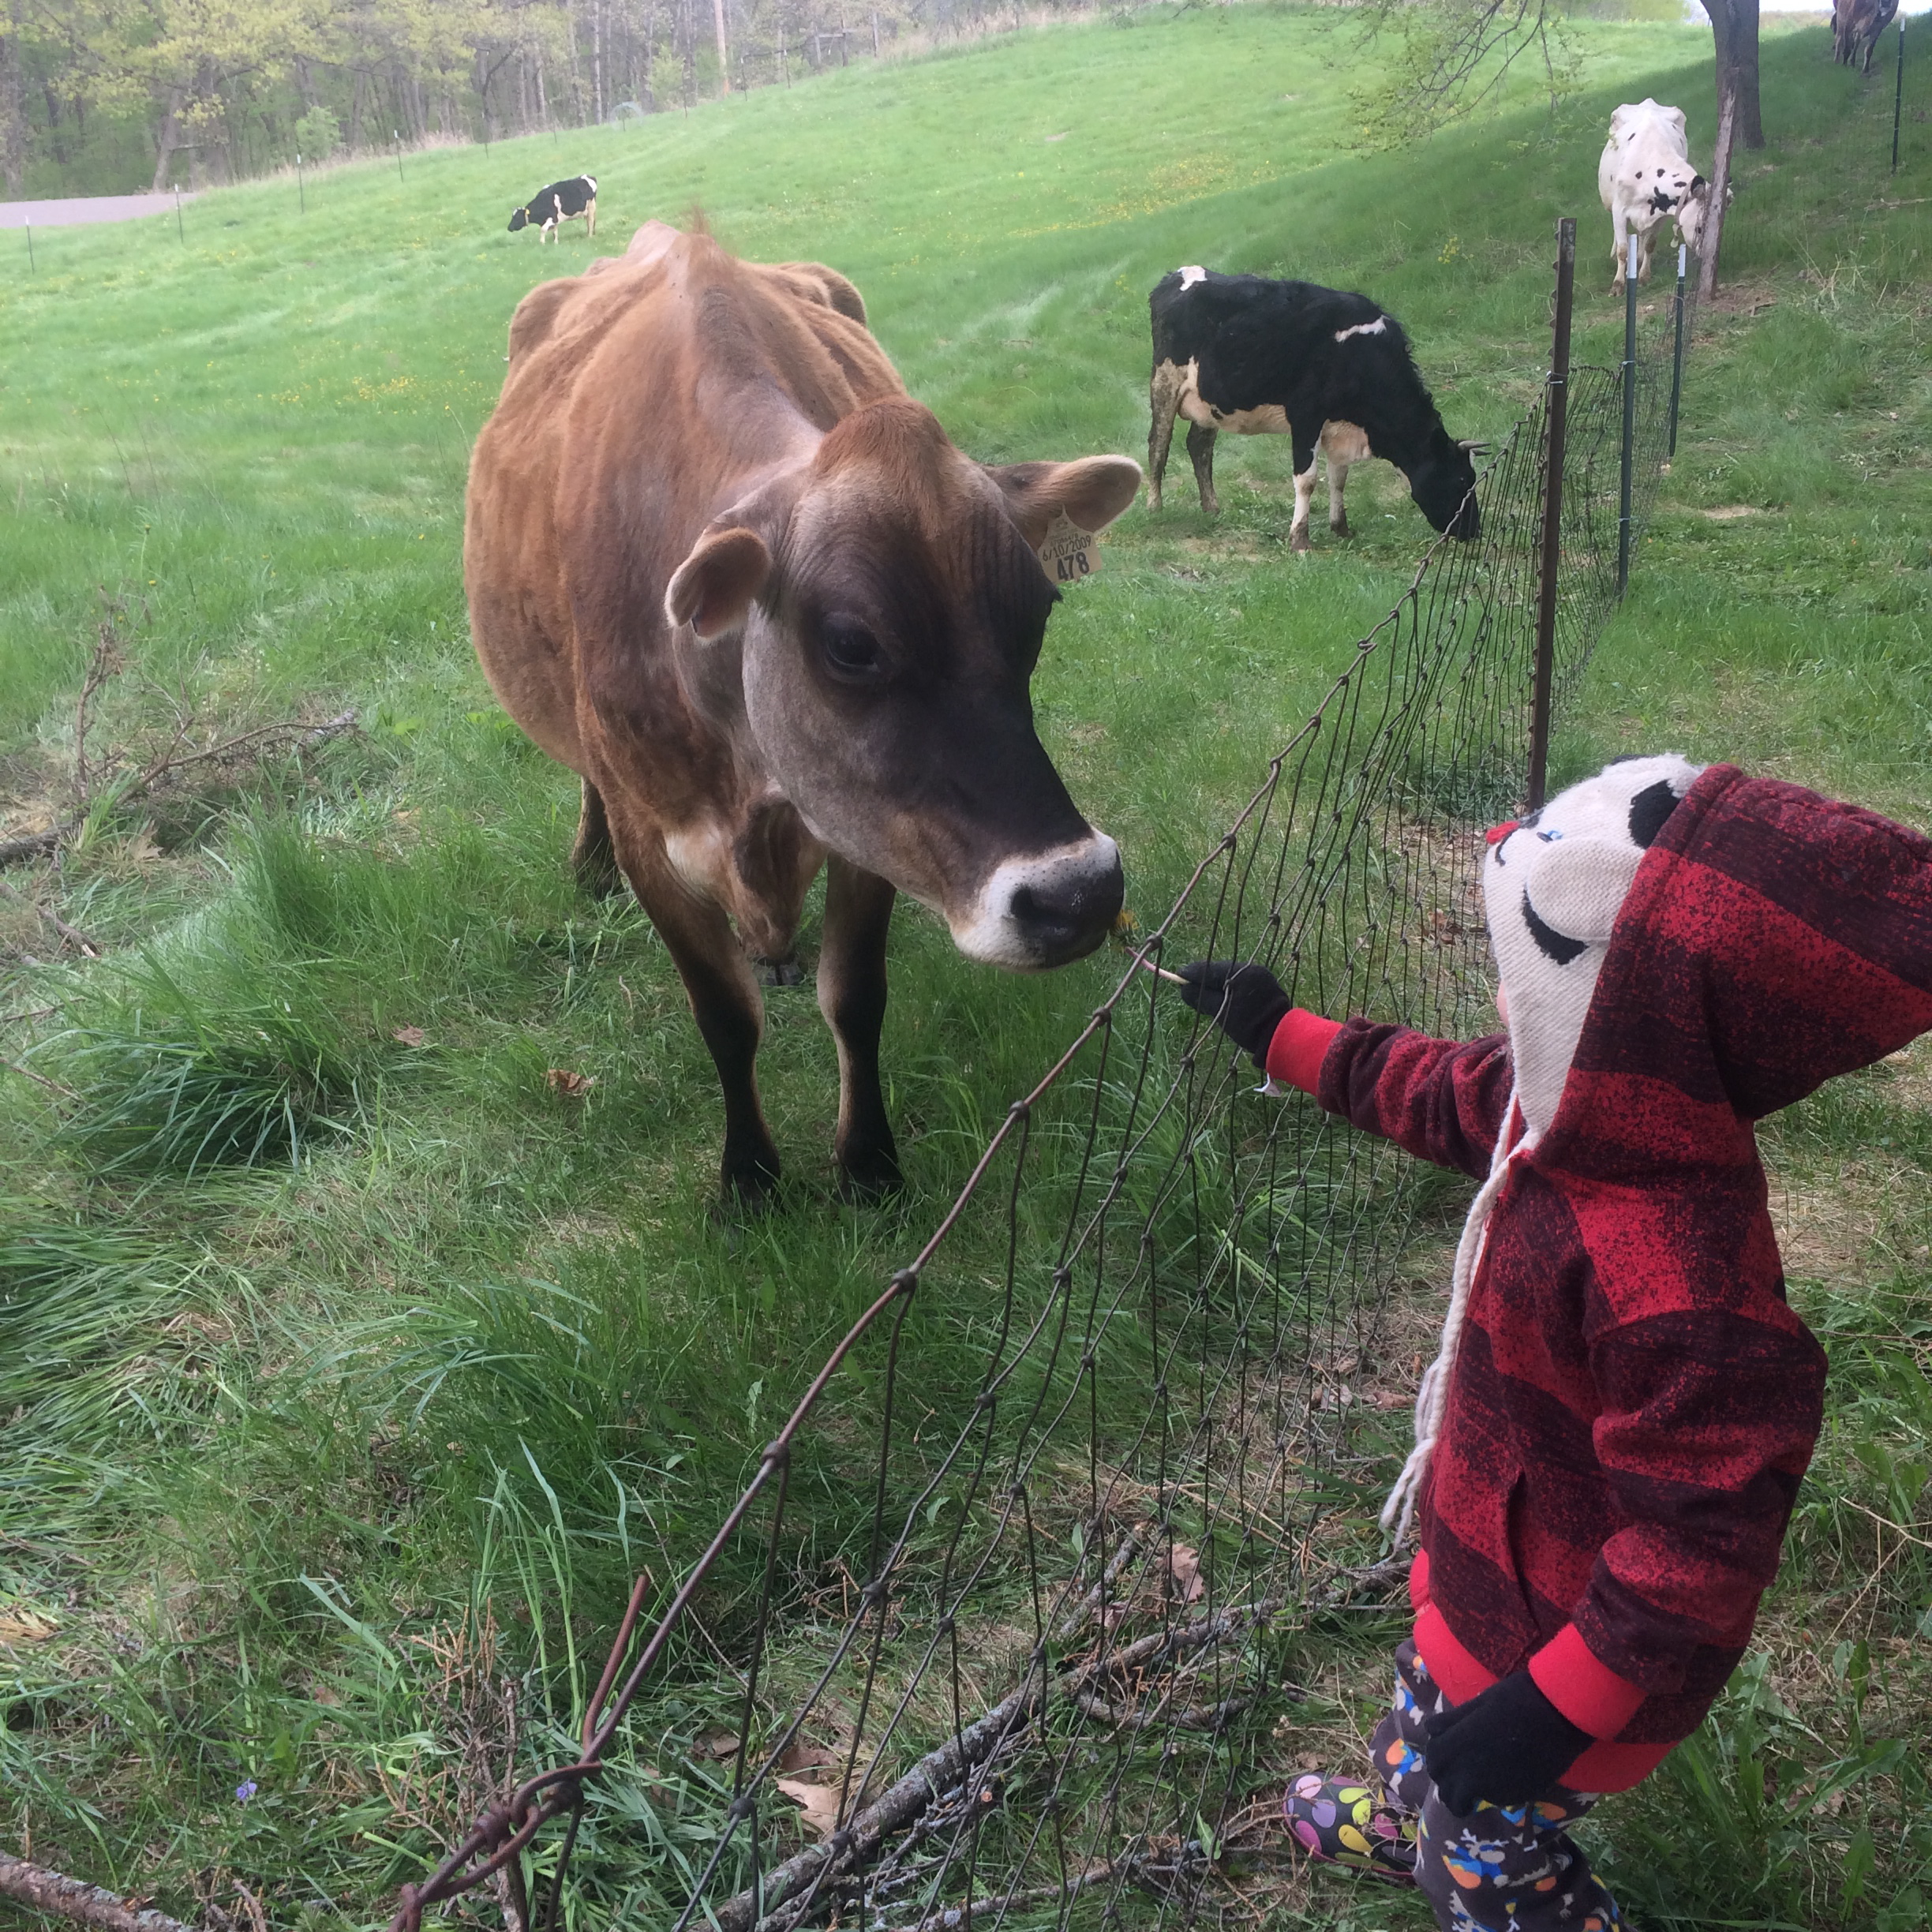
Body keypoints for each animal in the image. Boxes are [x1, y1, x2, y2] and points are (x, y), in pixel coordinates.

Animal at [465, 226, 1136, 1205]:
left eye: (1039, 608)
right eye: (852, 644)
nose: (1078, 895)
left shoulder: (868, 825)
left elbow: (854, 997)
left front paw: (868, 1163)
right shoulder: (652, 839)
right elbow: (723, 1016)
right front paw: (748, 1178)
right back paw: (588, 864)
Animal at [1144, 268, 1476, 552]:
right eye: (1462, 480)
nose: (1475, 531)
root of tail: (1176, 275)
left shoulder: (1338, 426)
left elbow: (1339, 476)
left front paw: (1341, 528)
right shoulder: (1306, 415)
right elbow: (1307, 480)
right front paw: (1300, 540)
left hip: (1208, 402)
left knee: (1199, 447)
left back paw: (1212, 508)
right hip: (1165, 381)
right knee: (1158, 444)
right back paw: (1154, 507)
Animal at [1599, 100, 1723, 295]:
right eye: (1699, 228)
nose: (1708, 256)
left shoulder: (1662, 214)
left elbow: (1650, 243)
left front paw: (1644, 275)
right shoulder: (1619, 210)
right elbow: (1623, 249)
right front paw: (1618, 284)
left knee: (1642, 235)